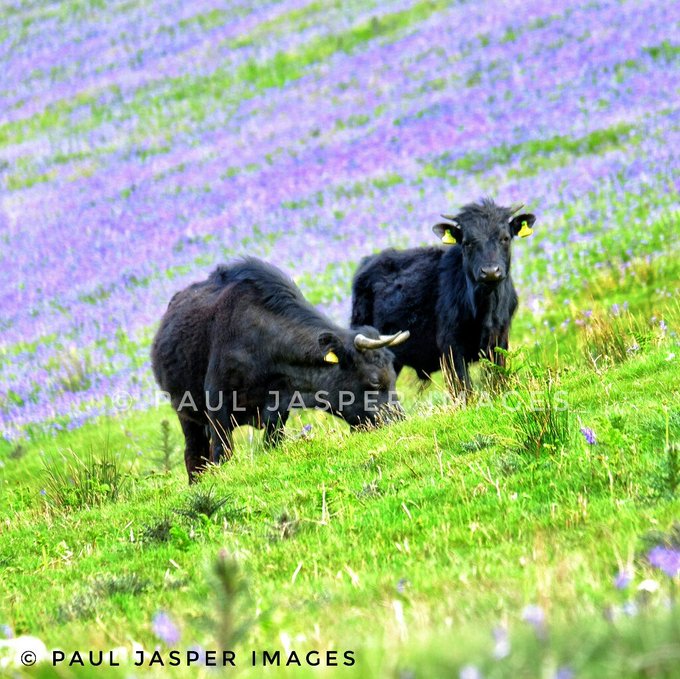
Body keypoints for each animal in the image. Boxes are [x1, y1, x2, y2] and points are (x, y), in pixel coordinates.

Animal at [153, 256, 410, 484]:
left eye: (394, 377)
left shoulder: (279, 410)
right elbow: (221, 453)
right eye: (374, 381)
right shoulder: (217, 405)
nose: (399, 419)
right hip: (187, 414)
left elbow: (272, 445)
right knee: (194, 455)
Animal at [350, 198, 536, 388]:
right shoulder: (451, 347)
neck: (486, 308)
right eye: (467, 242)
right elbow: (464, 388)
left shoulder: (499, 340)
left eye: (505, 238)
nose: (490, 271)